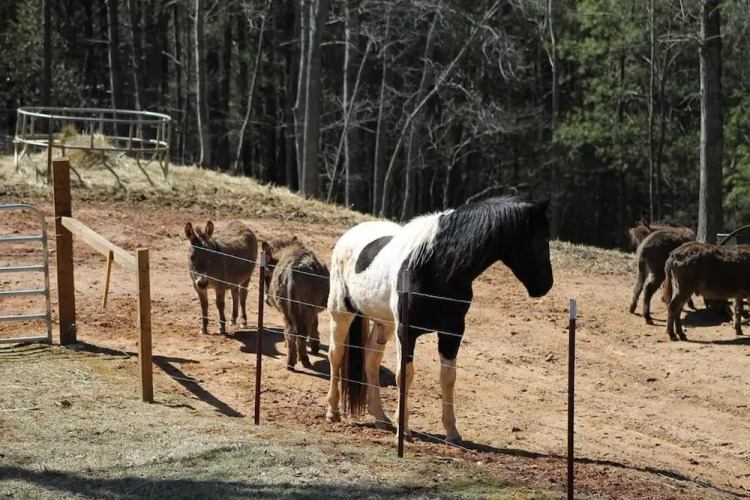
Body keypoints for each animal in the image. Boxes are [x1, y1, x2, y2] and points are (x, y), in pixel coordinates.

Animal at [261, 236, 330, 370]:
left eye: (266, 275)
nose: (267, 300)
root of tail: (292, 271)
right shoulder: (312, 309)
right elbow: (314, 325)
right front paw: (314, 346)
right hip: (306, 308)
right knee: (301, 333)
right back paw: (304, 360)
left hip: (286, 306)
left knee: (291, 332)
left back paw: (290, 361)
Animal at [325, 196, 554, 444]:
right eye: (541, 239)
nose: (546, 285)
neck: (434, 268)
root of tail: (349, 236)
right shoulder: (406, 331)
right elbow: (404, 375)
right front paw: (403, 429)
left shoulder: (452, 332)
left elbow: (448, 377)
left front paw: (452, 432)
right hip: (341, 311)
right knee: (336, 354)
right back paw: (333, 411)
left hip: (383, 322)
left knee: (371, 359)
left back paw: (380, 417)